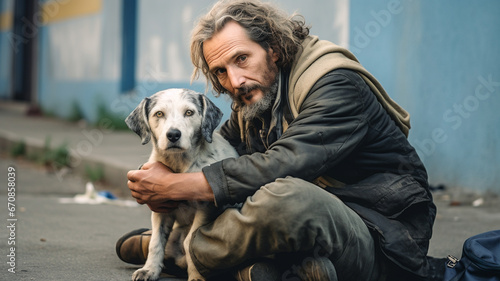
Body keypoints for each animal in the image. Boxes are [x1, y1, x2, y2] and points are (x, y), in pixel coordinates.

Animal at [127, 88, 240, 280]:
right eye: (159, 113)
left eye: (189, 112)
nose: (173, 134)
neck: (179, 164)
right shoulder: (160, 209)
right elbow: (155, 242)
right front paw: (149, 270)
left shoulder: (204, 209)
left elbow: (191, 244)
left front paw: (196, 276)